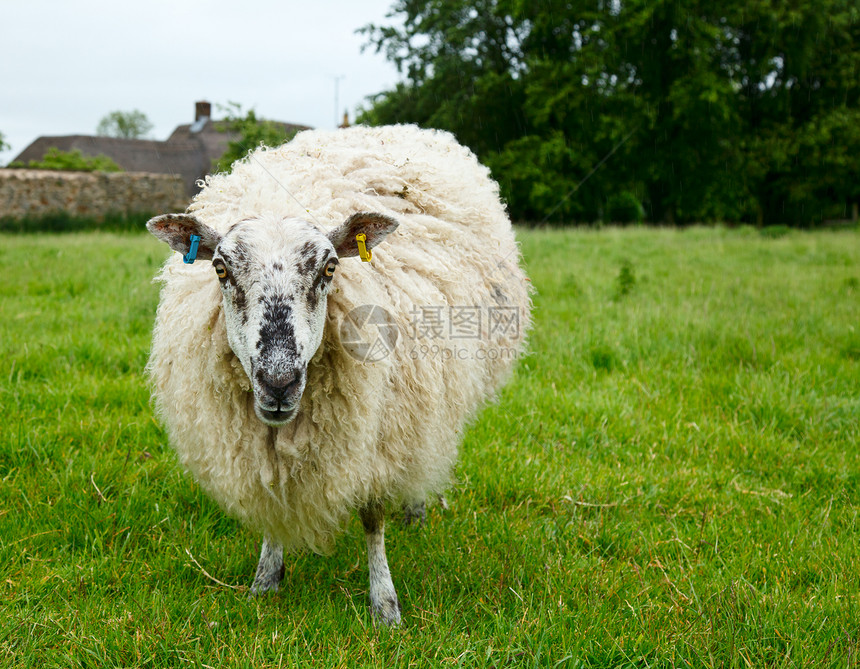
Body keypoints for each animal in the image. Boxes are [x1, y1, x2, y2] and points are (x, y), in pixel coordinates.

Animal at [146, 122, 532, 624]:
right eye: (220, 269)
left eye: (329, 268)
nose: (278, 383)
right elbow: (272, 499)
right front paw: (265, 581)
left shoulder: (379, 429)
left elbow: (372, 517)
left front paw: (385, 605)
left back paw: (415, 509)